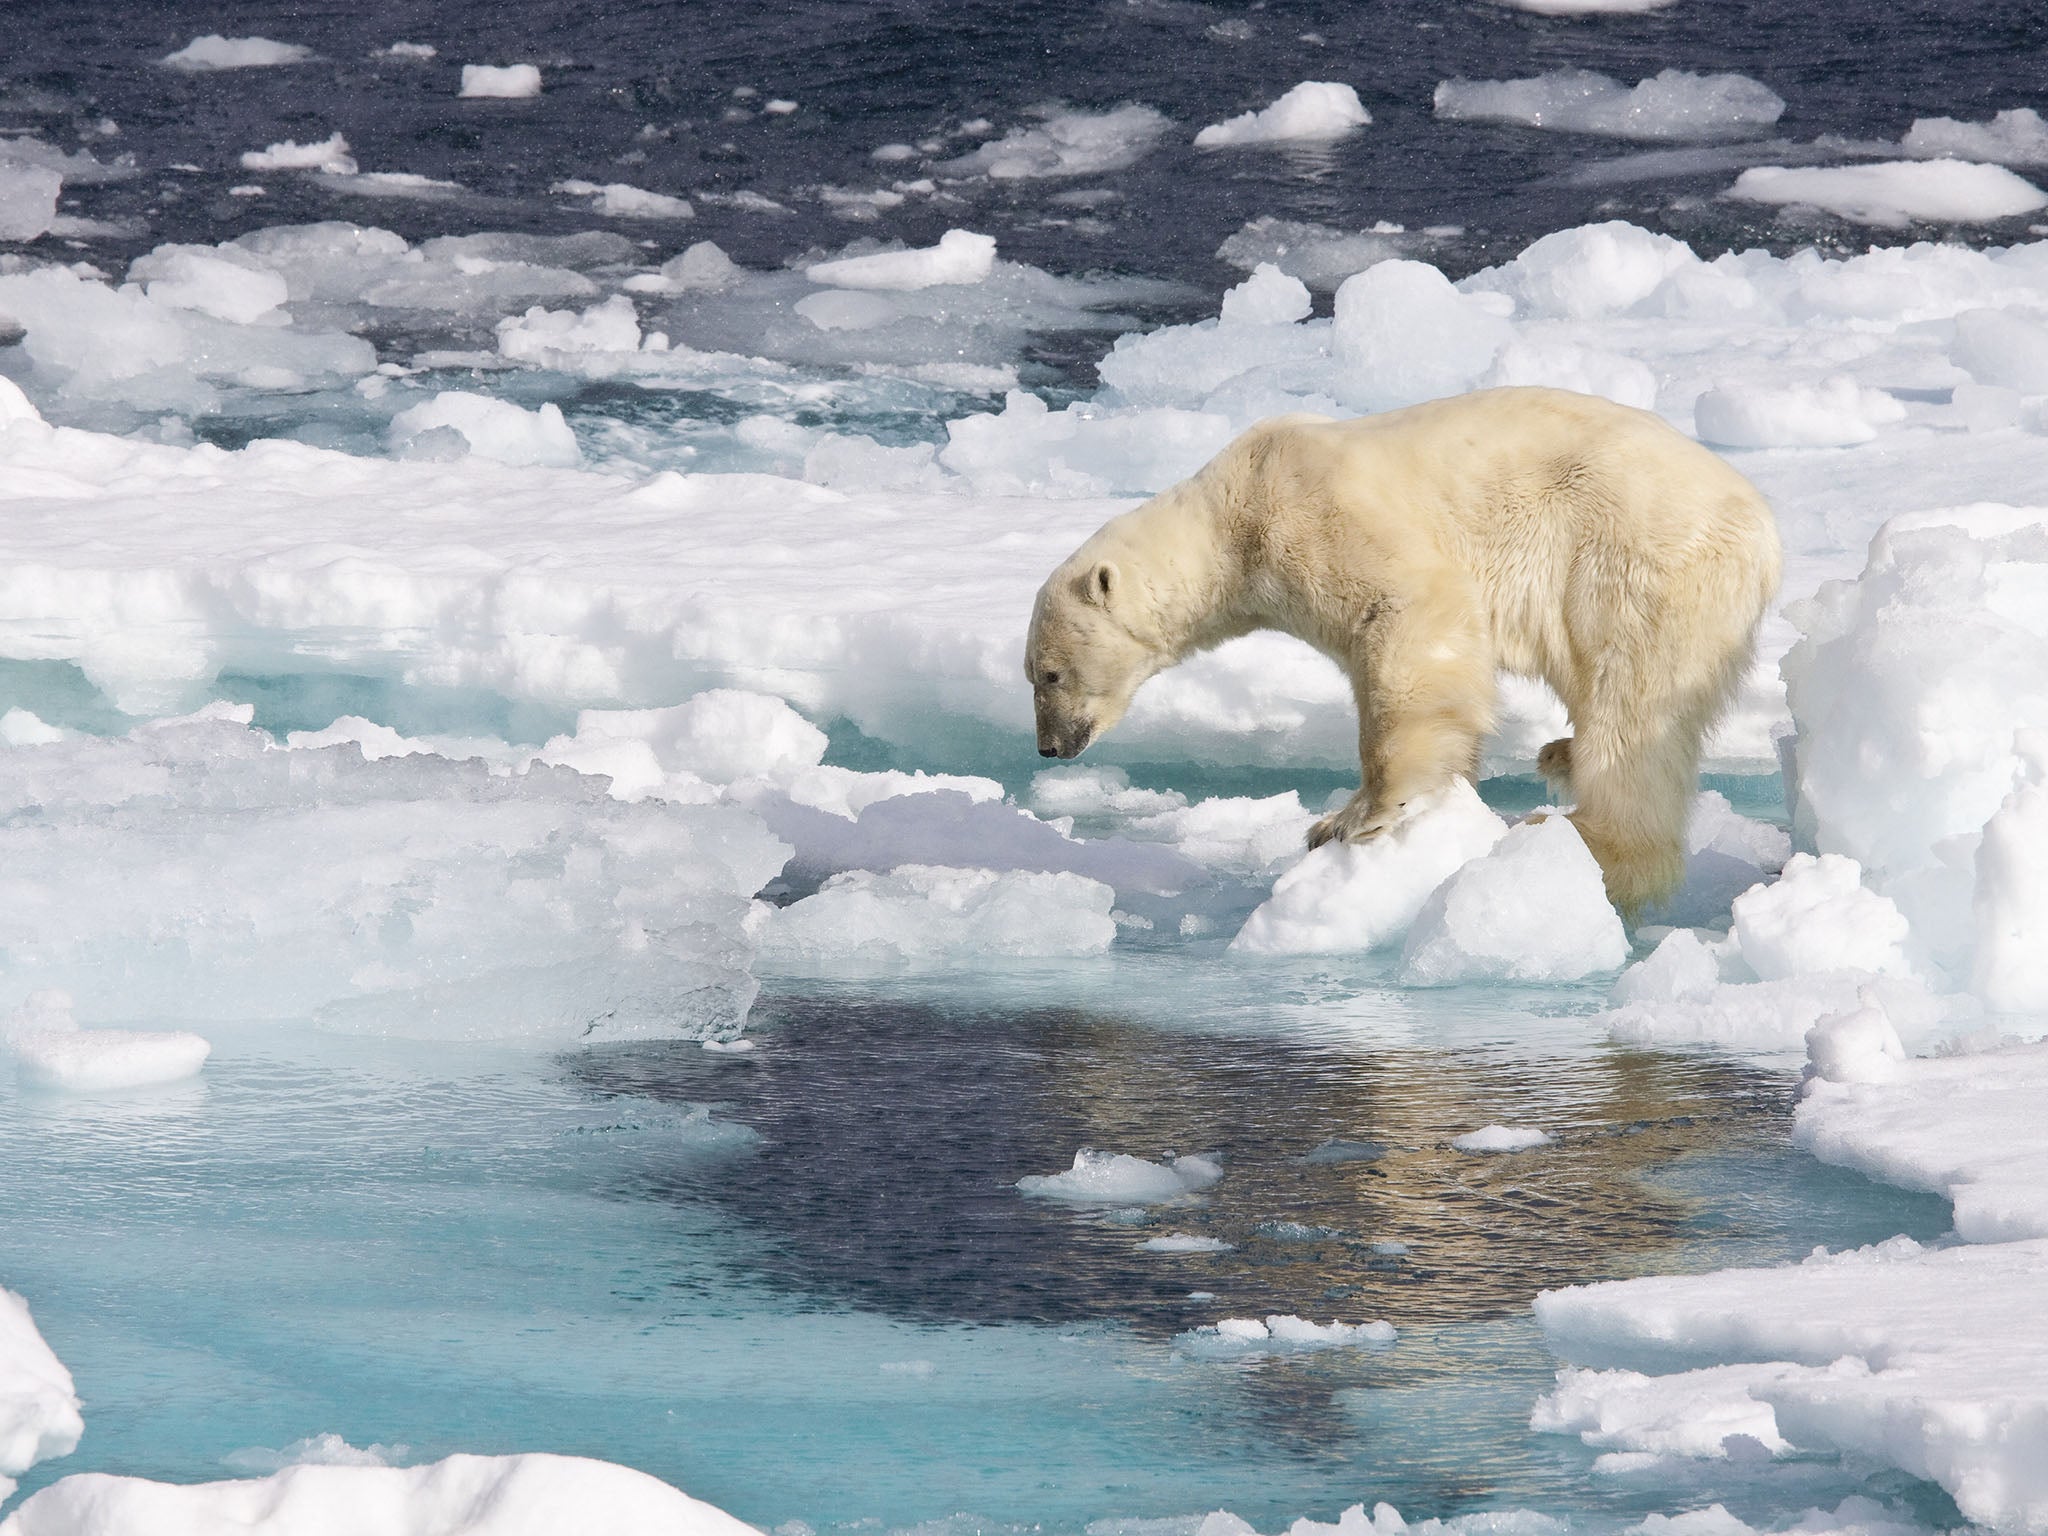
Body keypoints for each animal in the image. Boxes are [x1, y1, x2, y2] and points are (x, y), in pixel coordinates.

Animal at [1024, 387, 1777, 913]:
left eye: (1050, 673)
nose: (1049, 747)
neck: (1234, 511)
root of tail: (1763, 526)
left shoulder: (1316, 513)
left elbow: (1410, 614)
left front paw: (1353, 817)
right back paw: (1562, 755)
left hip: (1634, 555)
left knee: (1634, 703)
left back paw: (1592, 837)